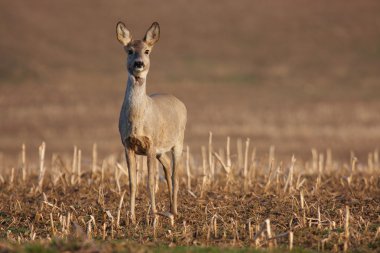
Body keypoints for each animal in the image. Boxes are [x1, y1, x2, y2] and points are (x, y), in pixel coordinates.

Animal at [116, 21, 187, 223]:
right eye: (130, 50)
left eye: (147, 51)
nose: (139, 63)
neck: (138, 121)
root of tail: (179, 102)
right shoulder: (128, 145)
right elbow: (132, 182)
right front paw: (131, 218)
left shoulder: (151, 144)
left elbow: (150, 181)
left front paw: (153, 217)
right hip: (160, 151)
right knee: (167, 169)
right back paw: (169, 209)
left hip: (178, 141)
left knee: (175, 174)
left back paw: (174, 211)